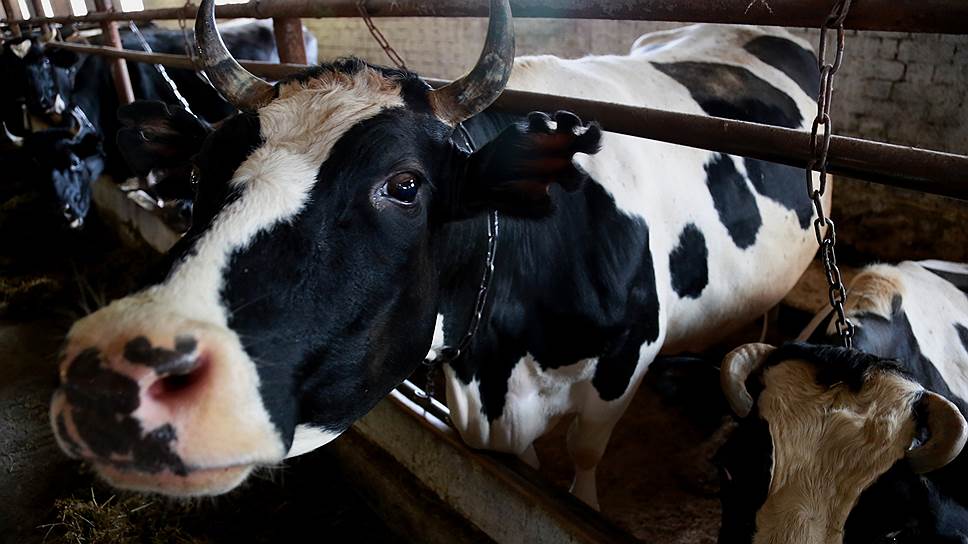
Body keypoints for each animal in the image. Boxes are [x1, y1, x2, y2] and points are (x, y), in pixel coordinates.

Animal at [50, 0, 828, 505]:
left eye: (404, 185)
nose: (110, 376)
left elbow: (582, 461)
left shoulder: (625, 359)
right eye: (202, 168)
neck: (496, 361)